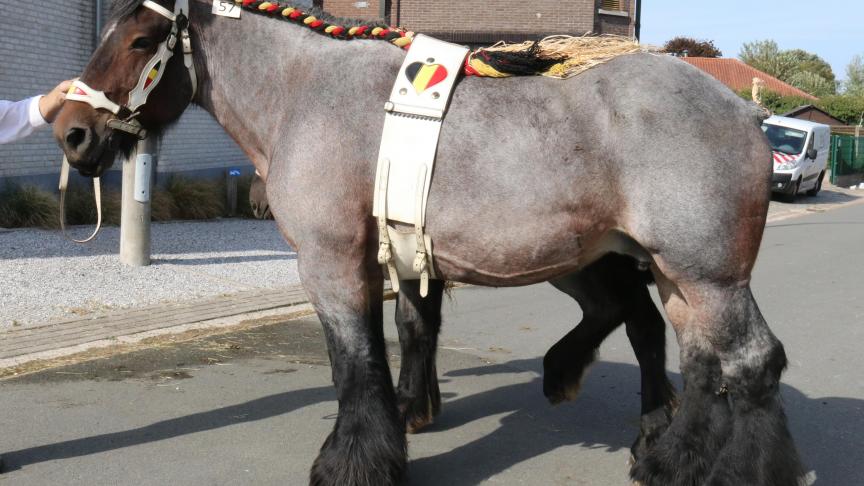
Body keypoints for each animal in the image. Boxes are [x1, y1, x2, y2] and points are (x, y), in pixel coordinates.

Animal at [52, 1, 804, 484]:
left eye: (141, 41)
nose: (72, 133)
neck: (307, 95)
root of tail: (748, 113)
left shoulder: (330, 263)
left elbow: (355, 362)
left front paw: (351, 464)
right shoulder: (399, 262)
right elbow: (402, 338)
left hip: (705, 275)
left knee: (749, 362)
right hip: (671, 273)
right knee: (696, 359)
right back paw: (665, 459)